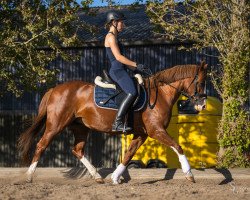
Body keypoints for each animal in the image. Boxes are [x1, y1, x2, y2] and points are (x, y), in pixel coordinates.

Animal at [18, 61, 208, 184]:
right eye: (200, 82)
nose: (203, 105)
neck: (160, 94)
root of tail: (54, 89)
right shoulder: (156, 131)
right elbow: (178, 146)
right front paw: (189, 174)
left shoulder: (142, 134)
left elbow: (129, 154)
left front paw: (115, 178)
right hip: (55, 125)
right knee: (41, 145)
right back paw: (28, 176)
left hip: (81, 128)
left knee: (77, 150)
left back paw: (97, 176)